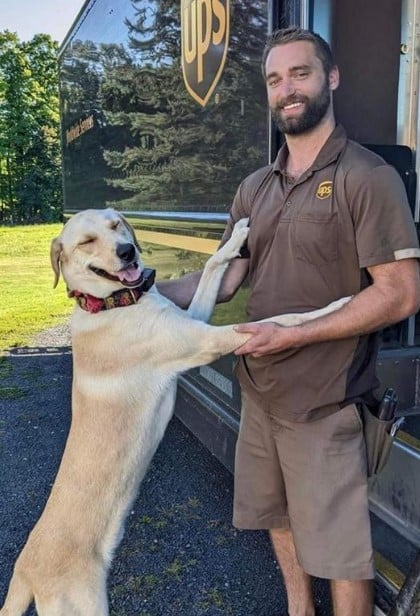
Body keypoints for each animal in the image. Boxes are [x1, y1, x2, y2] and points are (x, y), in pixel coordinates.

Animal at [0, 209, 352, 612]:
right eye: (87, 242)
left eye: (116, 225)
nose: (127, 252)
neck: (113, 304)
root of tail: (25, 572)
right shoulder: (207, 340)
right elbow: (284, 320)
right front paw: (336, 307)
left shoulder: (194, 319)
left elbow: (214, 265)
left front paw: (235, 238)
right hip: (83, 605)